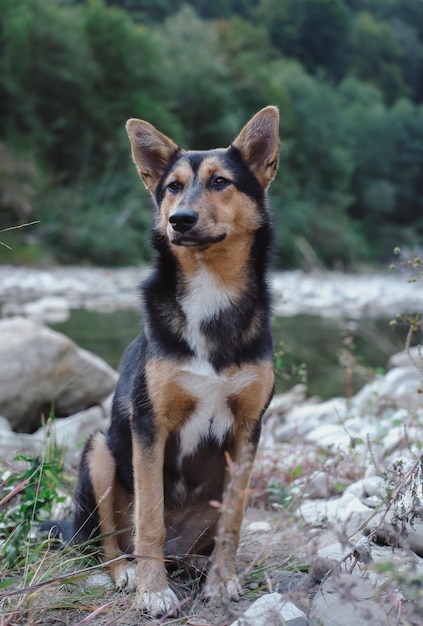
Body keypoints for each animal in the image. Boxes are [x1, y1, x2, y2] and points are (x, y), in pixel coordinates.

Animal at [74, 107, 280, 616]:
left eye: (221, 182)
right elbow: (150, 517)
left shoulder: (248, 430)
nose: (180, 220)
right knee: (110, 542)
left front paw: (221, 583)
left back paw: (195, 567)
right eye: (172, 186)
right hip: (100, 451)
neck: (210, 287)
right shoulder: (150, 426)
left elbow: (233, 521)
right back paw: (129, 573)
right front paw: (152, 590)